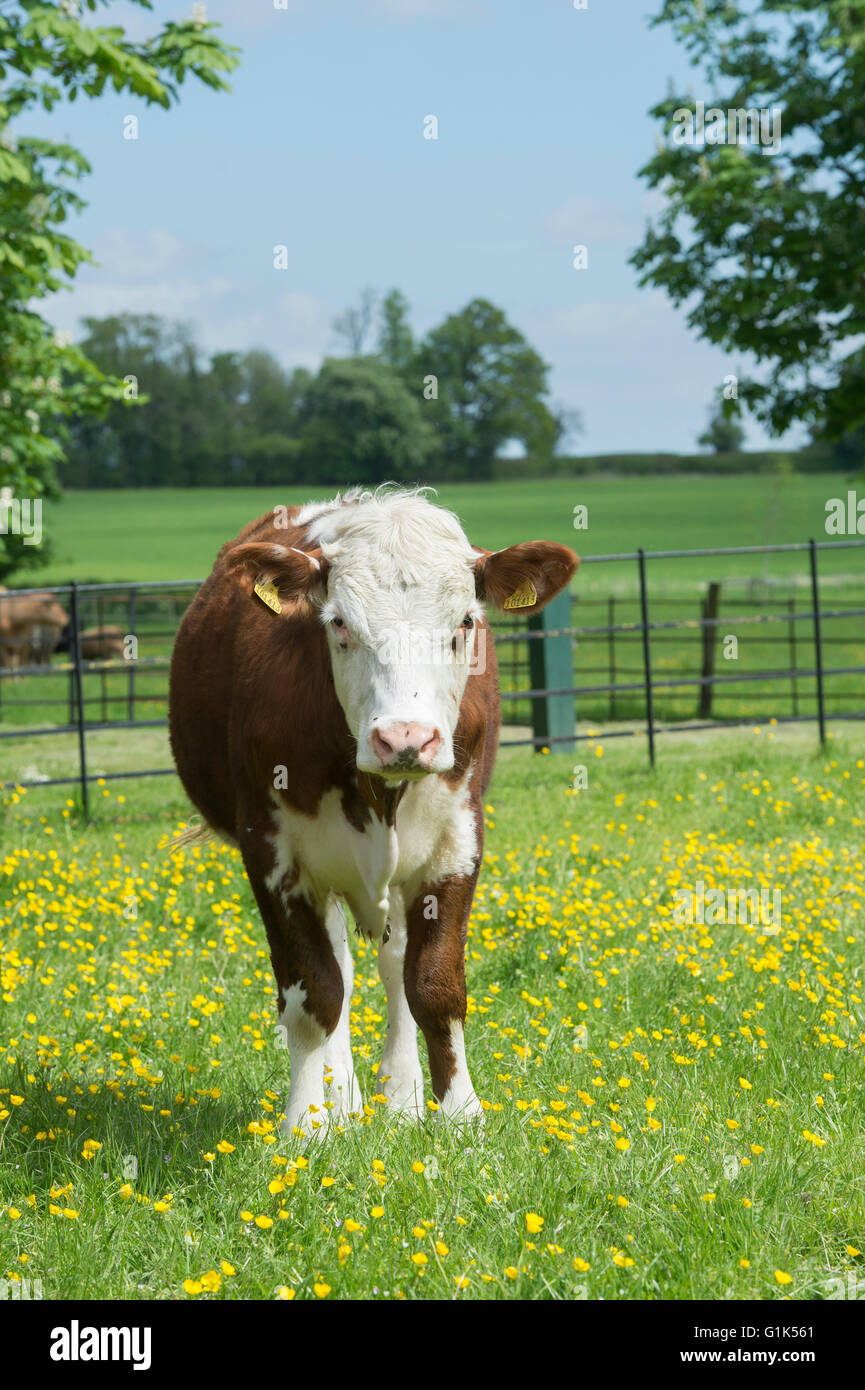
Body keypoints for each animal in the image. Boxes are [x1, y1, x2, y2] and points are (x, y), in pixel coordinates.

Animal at [168, 492, 578, 1139]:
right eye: (339, 623)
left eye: (466, 622)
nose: (404, 739)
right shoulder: (272, 855)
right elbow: (313, 994)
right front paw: (307, 1123)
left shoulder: (457, 843)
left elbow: (433, 984)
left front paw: (458, 1114)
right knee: (337, 969)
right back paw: (343, 1101)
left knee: (392, 966)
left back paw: (401, 1096)